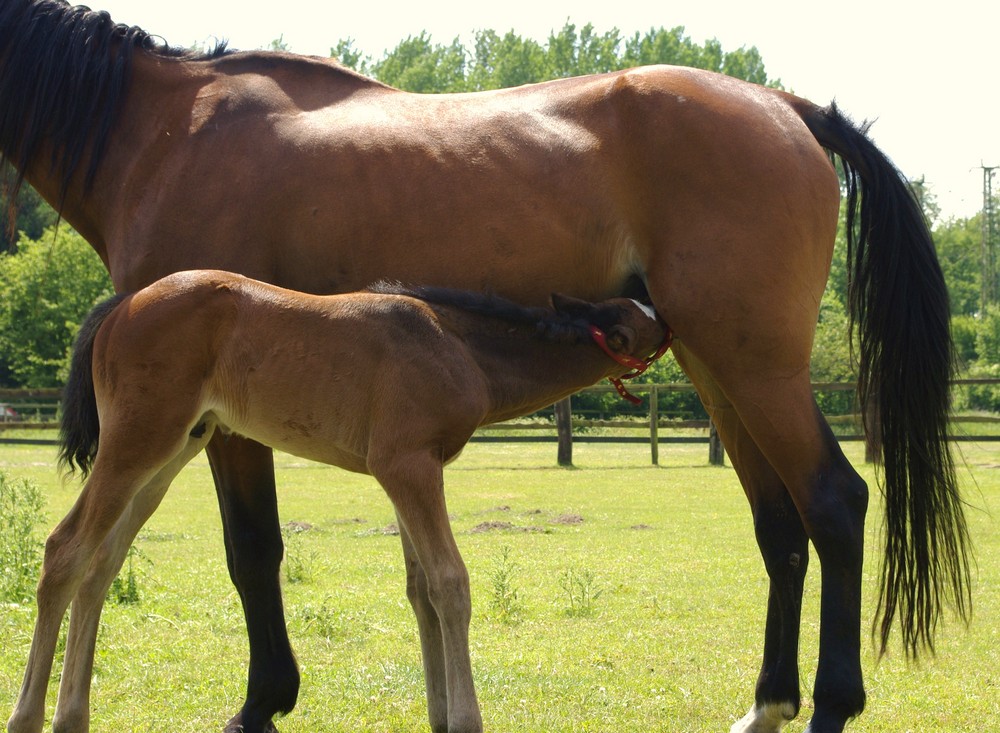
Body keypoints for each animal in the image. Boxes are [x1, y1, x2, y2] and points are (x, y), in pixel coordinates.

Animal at [0, 1, 968, 732]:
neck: (160, 132)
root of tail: (786, 106)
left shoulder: (228, 421)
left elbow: (254, 551)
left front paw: (262, 702)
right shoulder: (223, 420)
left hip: (754, 365)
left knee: (833, 502)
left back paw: (830, 706)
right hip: (717, 365)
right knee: (779, 526)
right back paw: (767, 703)